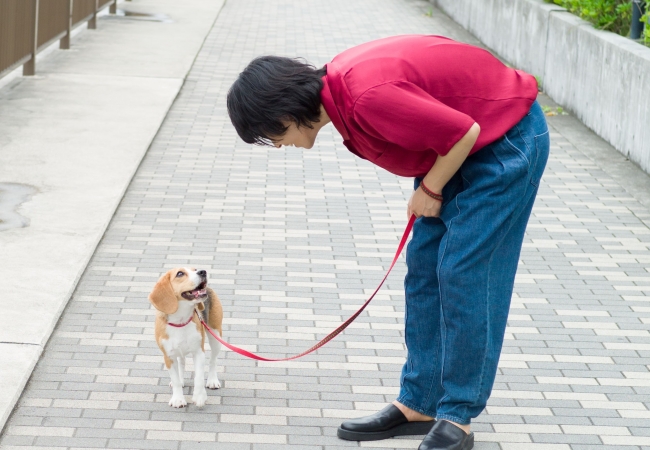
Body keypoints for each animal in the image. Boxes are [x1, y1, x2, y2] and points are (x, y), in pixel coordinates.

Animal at [148, 268, 224, 408]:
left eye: (195, 269)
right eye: (180, 274)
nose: (203, 271)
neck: (180, 321)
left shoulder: (199, 352)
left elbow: (199, 377)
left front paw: (199, 397)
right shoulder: (168, 356)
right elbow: (176, 380)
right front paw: (178, 399)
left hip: (216, 334)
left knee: (213, 360)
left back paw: (212, 380)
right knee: (181, 364)